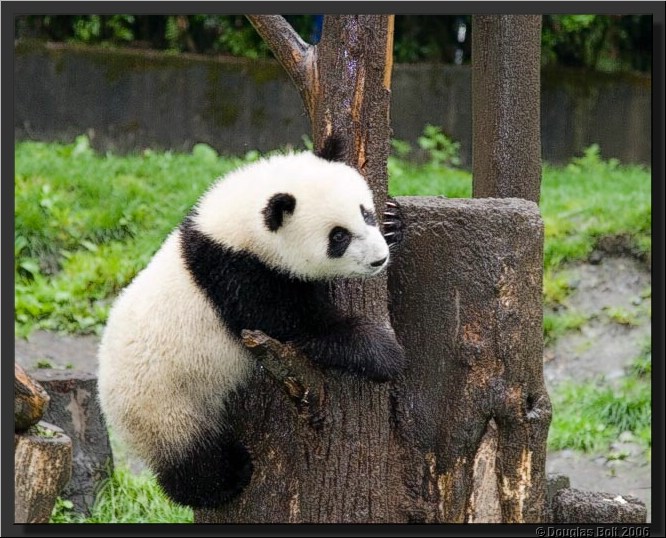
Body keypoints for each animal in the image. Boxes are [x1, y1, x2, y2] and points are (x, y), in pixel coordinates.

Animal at [97, 139, 405, 509]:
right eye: (338, 237)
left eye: (365, 213)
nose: (379, 259)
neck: (236, 227)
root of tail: (109, 406)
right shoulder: (237, 274)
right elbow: (293, 323)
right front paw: (382, 354)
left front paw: (395, 221)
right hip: (164, 402)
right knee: (191, 458)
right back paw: (227, 477)